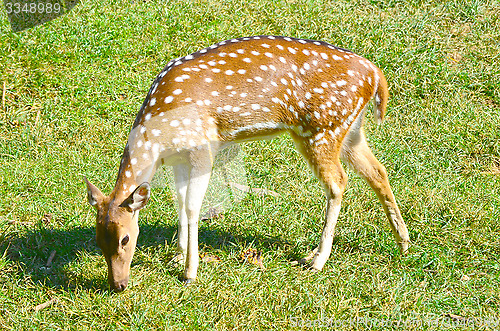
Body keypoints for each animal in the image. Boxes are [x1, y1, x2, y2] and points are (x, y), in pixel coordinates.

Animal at [85, 35, 410, 294]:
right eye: (98, 240)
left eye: (126, 238)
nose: (118, 284)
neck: (158, 139)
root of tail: (375, 75)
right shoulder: (179, 157)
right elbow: (179, 199)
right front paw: (178, 254)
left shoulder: (202, 146)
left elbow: (192, 206)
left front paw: (190, 272)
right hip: (350, 130)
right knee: (377, 171)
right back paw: (403, 241)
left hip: (321, 129)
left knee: (338, 182)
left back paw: (317, 259)